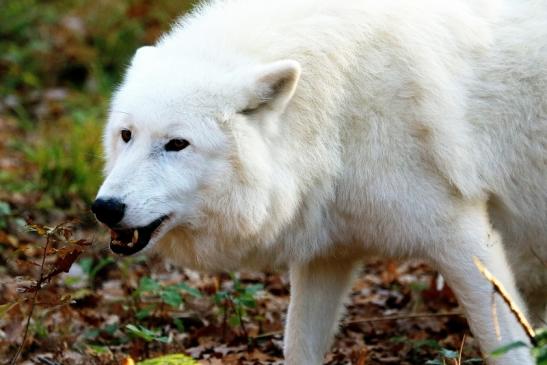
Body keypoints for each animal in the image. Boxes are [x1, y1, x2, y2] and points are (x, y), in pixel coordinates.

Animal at [92, 0, 544, 362]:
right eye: (126, 135)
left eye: (177, 144)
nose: (105, 207)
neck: (338, 112)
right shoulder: (328, 253)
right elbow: (298, 346)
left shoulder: (463, 238)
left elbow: (507, 346)